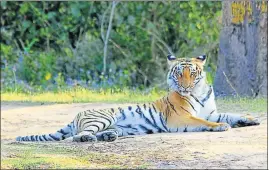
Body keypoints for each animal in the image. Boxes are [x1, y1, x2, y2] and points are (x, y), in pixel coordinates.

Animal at [15, 54, 258, 142]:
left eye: (192, 73)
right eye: (179, 73)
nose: (185, 86)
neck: (198, 92)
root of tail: (77, 115)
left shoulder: (211, 111)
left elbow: (229, 114)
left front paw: (250, 119)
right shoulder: (180, 118)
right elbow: (203, 121)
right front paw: (221, 127)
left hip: (116, 126)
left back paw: (108, 137)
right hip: (100, 118)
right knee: (75, 136)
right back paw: (88, 139)